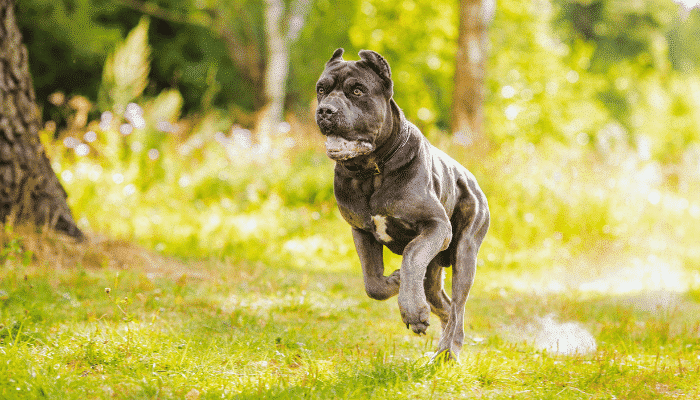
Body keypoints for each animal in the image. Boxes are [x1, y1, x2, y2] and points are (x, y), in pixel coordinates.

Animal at [314, 48, 490, 360]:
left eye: (357, 91)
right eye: (321, 90)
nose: (325, 110)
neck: (372, 171)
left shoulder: (435, 226)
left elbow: (411, 253)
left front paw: (412, 310)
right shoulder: (361, 231)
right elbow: (372, 282)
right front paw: (395, 282)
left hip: (465, 252)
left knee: (458, 307)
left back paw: (449, 351)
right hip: (435, 272)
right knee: (444, 305)